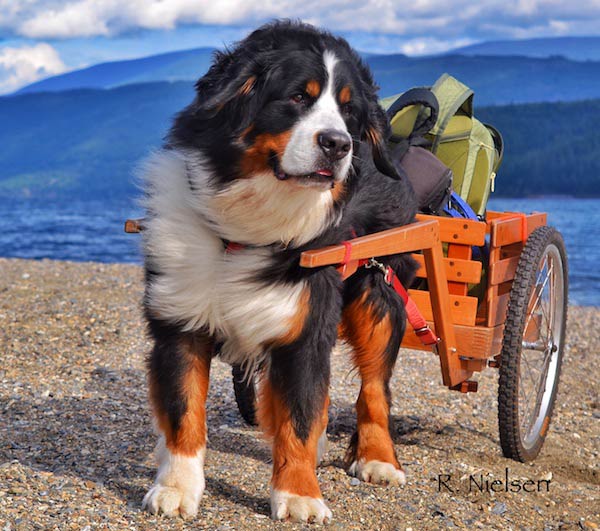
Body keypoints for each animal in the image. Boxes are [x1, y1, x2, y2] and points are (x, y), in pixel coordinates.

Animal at [140, 19, 418, 524]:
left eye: (348, 110)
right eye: (297, 97)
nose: (339, 143)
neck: (244, 229)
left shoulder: (304, 327)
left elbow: (299, 418)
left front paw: (299, 495)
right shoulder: (180, 321)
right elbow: (184, 411)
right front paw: (176, 486)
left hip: (379, 291)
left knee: (374, 388)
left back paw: (378, 458)